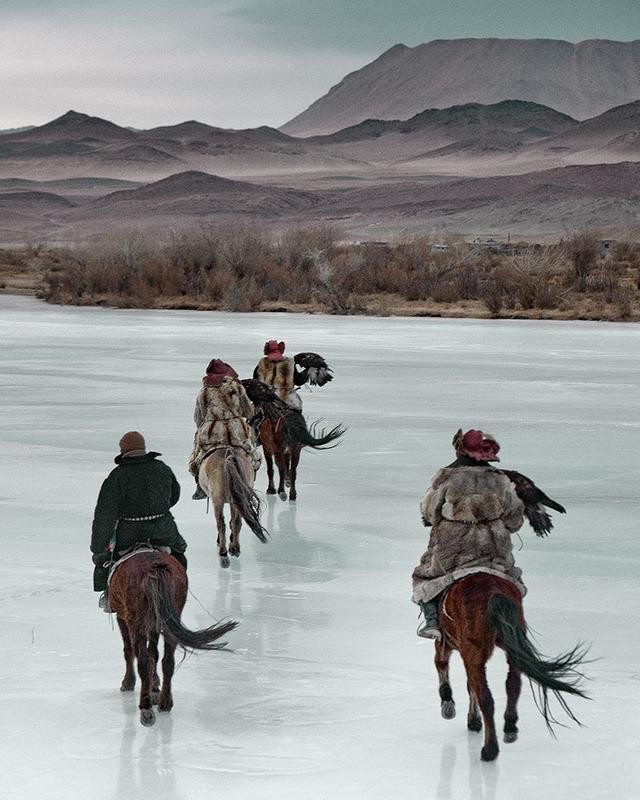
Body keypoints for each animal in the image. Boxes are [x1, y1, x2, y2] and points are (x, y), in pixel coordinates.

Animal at [109, 552, 239, 724]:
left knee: (142, 660)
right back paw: (165, 702)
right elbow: (154, 654)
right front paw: (155, 687)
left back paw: (146, 708)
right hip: (170, 617)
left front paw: (129, 683)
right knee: (168, 661)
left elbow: (130, 651)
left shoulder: (122, 617)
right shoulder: (155, 625)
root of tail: (154, 567)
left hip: (136, 621)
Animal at [432, 572, 588, 760]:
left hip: (474, 652)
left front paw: (448, 705)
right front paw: (473, 720)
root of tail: (493, 592)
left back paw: (490, 749)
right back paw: (509, 727)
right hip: (513, 648)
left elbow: (442, 664)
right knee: (513, 684)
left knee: (486, 697)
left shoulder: (446, 643)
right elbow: (470, 684)